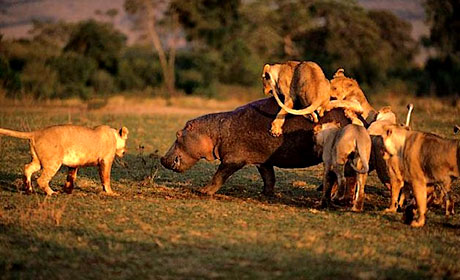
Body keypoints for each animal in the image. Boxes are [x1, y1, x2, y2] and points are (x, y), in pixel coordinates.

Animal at [0, 124, 128, 195]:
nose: (125, 152)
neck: (114, 135)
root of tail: (36, 133)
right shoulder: (106, 160)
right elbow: (106, 178)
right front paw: (111, 193)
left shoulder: (74, 163)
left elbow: (71, 177)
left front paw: (67, 191)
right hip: (54, 161)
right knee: (41, 180)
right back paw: (52, 193)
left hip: (38, 161)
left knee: (27, 168)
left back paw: (28, 190)